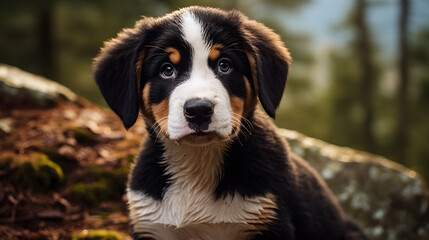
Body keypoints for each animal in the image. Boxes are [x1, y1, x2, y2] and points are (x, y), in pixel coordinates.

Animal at [92, 5, 366, 240]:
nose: (199, 110)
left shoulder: (270, 223)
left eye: (224, 65)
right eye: (167, 70)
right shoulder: (151, 226)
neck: (197, 164)